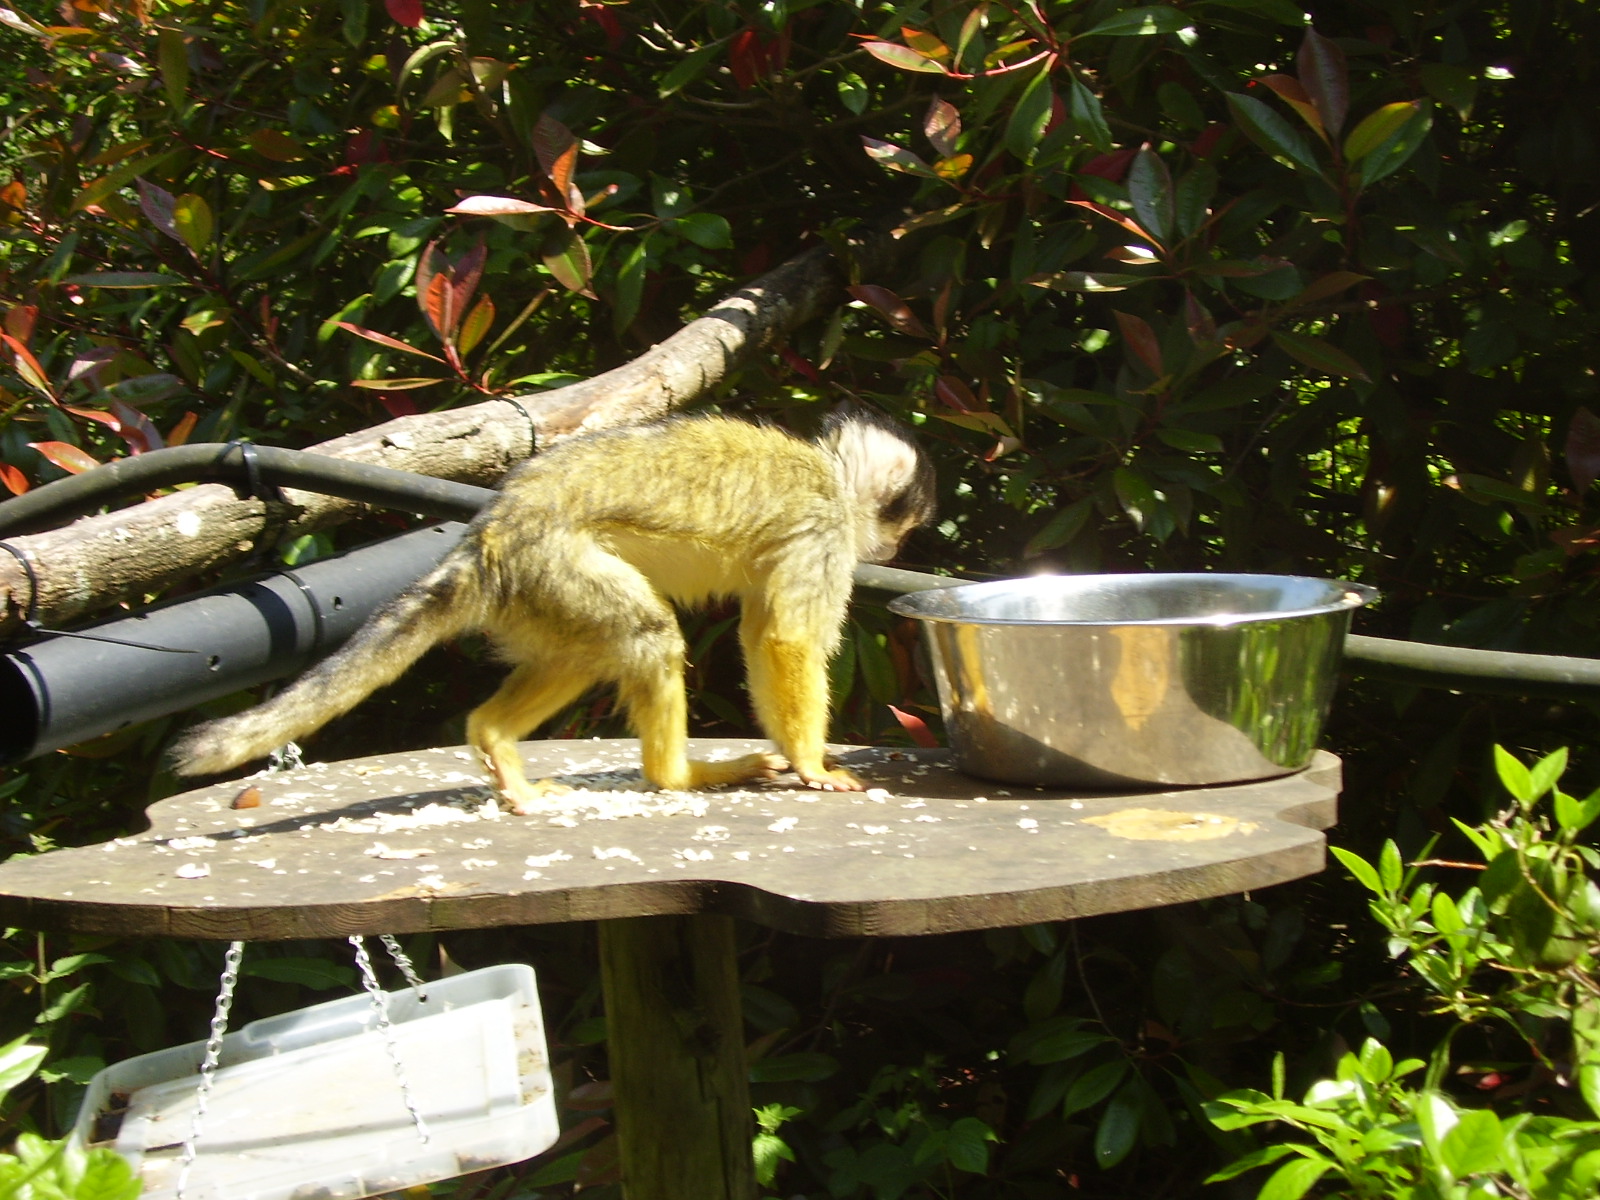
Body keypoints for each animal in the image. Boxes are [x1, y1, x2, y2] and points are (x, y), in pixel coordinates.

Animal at [170, 409, 936, 812]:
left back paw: (497, 744)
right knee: (645, 633)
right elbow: (785, 640)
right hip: (553, 561)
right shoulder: (825, 526)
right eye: (902, 526)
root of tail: (490, 533)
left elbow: (758, 634)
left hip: (536, 592)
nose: (897, 545)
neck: (831, 474)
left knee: (585, 649)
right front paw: (813, 764)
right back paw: (676, 777)